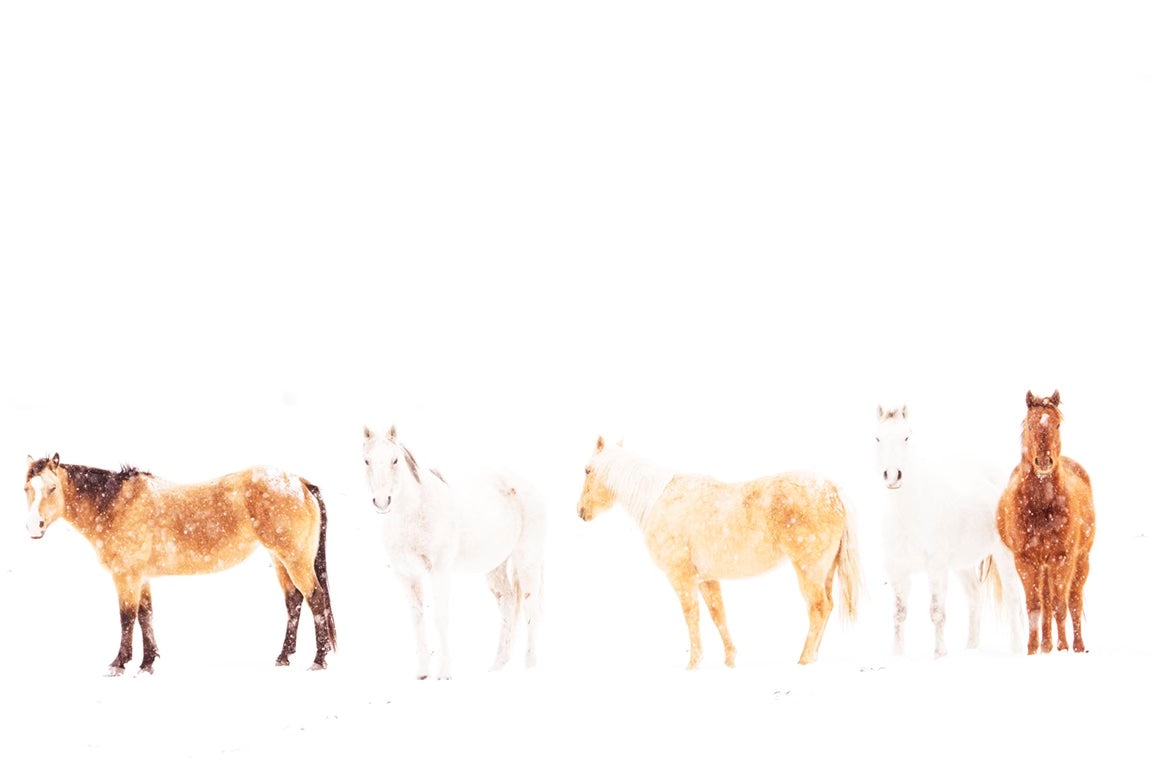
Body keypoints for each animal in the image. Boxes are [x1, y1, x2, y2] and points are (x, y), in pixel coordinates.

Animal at [23, 454, 337, 675]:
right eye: (26, 488)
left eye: (52, 488)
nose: (33, 528)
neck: (116, 504)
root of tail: (299, 482)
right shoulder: (142, 577)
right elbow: (146, 615)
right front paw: (147, 664)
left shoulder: (126, 576)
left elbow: (127, 617)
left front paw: (119, 664)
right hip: (280, 559)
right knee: (294, 601)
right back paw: (283, 657)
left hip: (295, 559)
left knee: (315, 599)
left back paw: (318, 660)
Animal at [362, 425, 547, 680]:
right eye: (367, 460)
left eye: (395, 459)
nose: (382, 502)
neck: (415, 513)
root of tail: (527, 487)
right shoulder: (407, 575)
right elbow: (417, 619)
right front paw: (422, 673)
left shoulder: (440, 572)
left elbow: (440, 617)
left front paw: (444, 673)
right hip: (496, 567)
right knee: (508, 604)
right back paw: (497, 666)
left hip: (527, 560)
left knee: (531, 608)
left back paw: (530, 666)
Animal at [577, 436, 862, 669]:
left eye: (587, 470)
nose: (580, 511)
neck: (659, 500)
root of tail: (832, 490)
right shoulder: (706, 578)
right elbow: (718, 615)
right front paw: (729, 660)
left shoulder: (681, 577)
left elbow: (692, 616)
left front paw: (693, 664)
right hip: (826, 570)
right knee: (826, 606)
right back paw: (813, 658)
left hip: (808, 569)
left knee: (818, 608)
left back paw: (803, 660)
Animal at [874, 405, 1025, 658]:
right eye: (877, 438)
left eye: (907, 436)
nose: (893, 475)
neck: (908, 514)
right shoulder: (896, 568)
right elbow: (899, 613)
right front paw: (897, 655)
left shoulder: (936, 567)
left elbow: (937, 612)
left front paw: (940, 654)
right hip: (962, 564)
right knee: (974, 595)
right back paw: (971, 648)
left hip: (1004, 554)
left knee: (1013, 598)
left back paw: (1016, 649)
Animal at [996, 390, 1096, 654]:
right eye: (1031, 424)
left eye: (1058, 424)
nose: (1043, 462)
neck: (1042, 508)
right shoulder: (1026, 560)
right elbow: (1035, 606)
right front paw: (1033, 650)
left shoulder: (1062, 558)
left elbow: (1061, 605)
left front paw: (1062, 649)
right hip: (1043, 566)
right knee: (1046, 602)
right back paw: (1046, 645)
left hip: (1080, 560)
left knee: (1073, 600)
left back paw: (1077, 647)